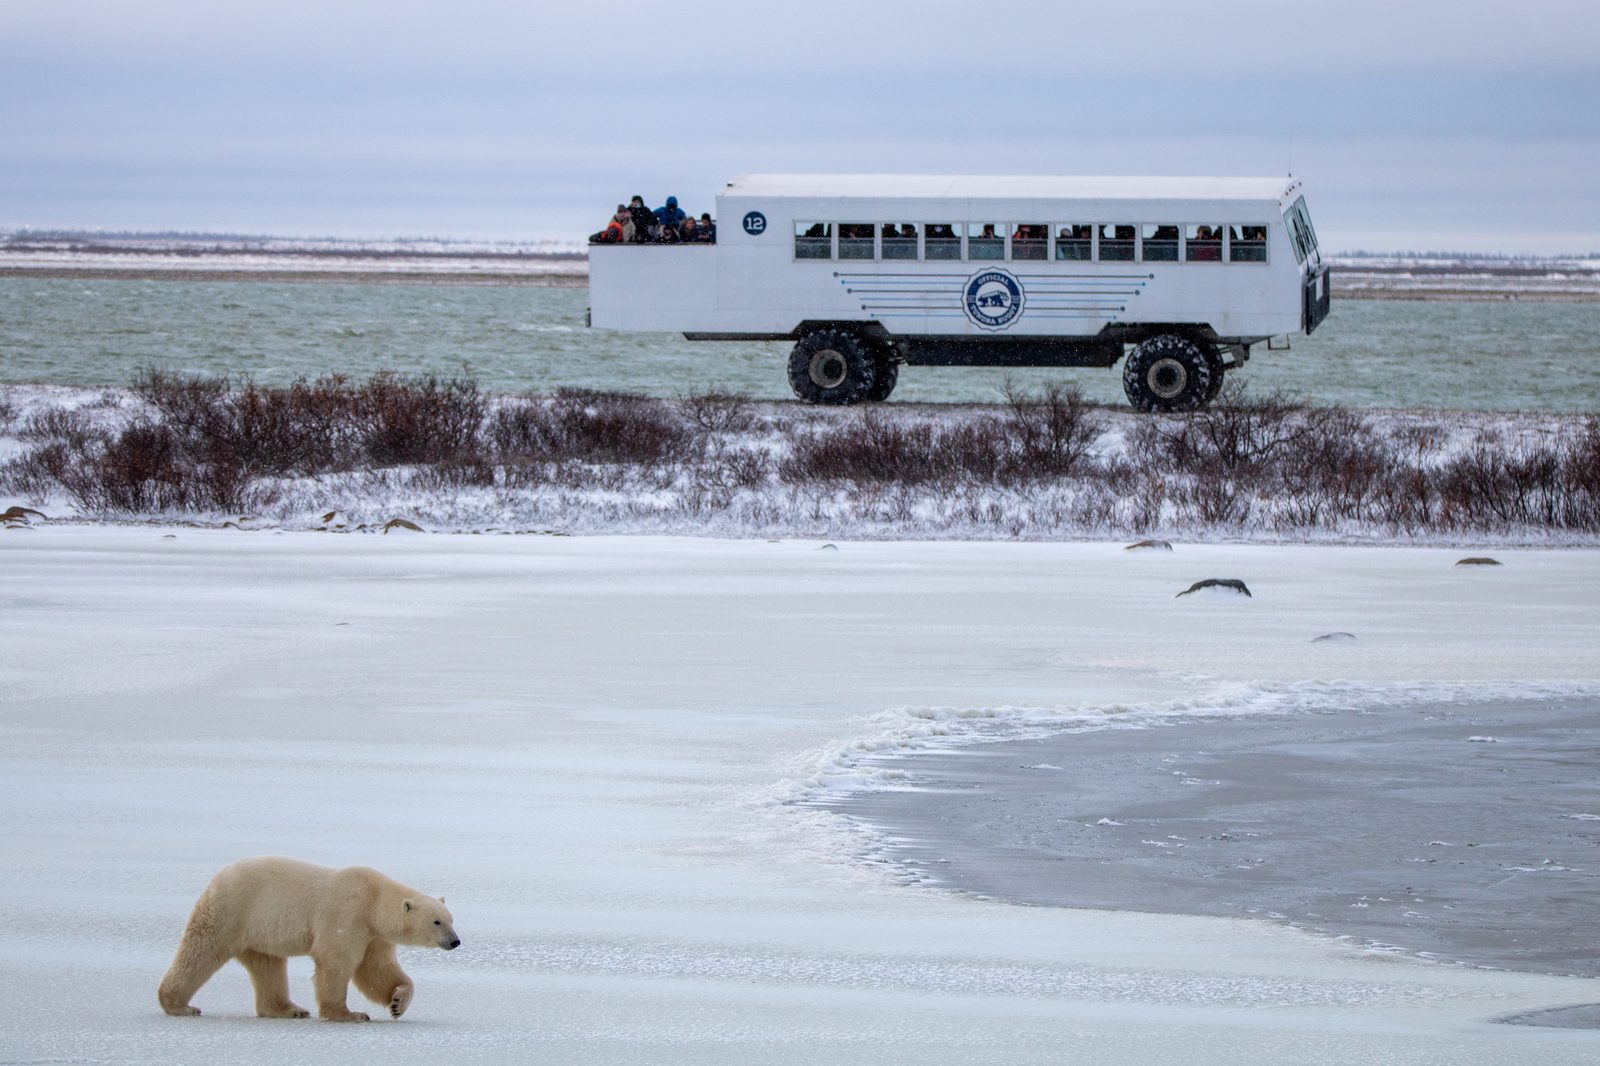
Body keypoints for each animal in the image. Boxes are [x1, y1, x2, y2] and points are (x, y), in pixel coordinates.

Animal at [158, 857, 459, 1022]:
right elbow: (337, 960)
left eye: (451, 919)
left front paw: (397, 1002)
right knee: (201, 951)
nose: (455, 942)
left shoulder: (374, 934)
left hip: (260, 931)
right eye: (437, 921)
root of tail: (218, 877)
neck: (373, 900)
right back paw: (180, 1005)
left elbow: (375, 970)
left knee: (268, 966)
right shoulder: (346, 914)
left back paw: (288, 1009)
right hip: (232, 911)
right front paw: (348, 1014)